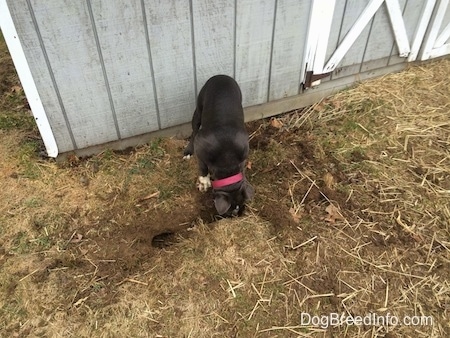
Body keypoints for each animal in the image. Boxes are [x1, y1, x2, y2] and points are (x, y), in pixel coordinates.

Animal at [182, 74, 253, 217]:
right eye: (231, 209)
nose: (236, 215)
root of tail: (221, 76)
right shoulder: (200, 147)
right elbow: (203, 166)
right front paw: (204, 182)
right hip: (199, 109)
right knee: (194, 130)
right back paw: (188, 151)